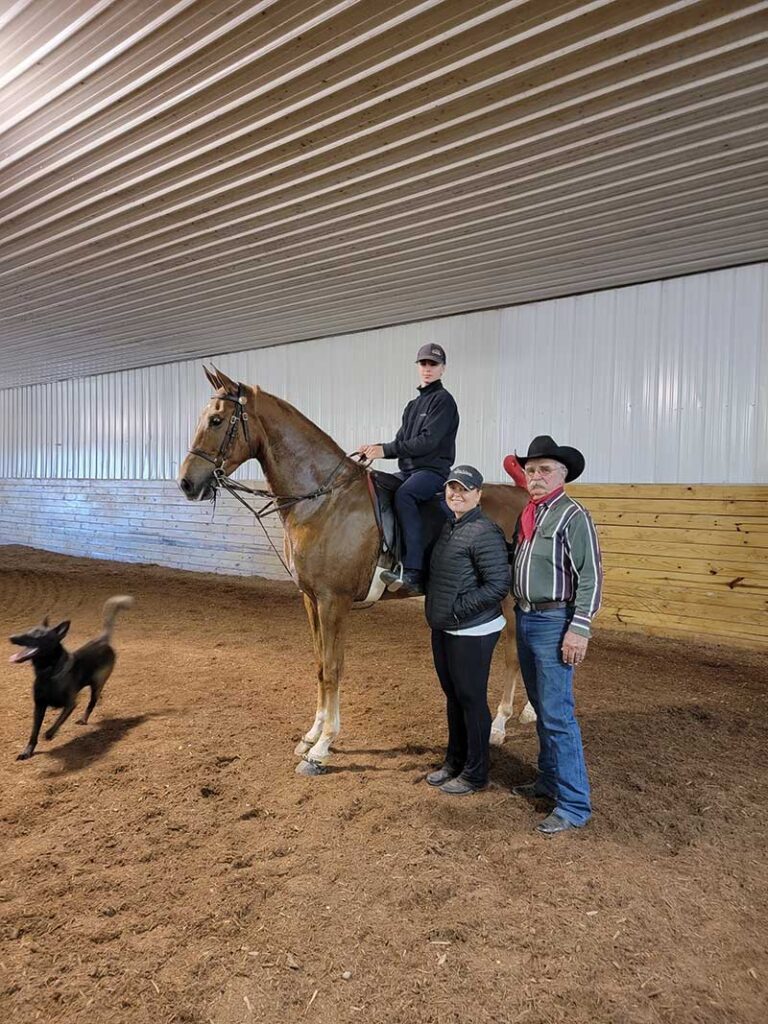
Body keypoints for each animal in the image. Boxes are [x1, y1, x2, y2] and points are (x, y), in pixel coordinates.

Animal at [9, 593, 133, 761]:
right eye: (28, 630)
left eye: (38, 635)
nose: (12, 637)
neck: (48, 674)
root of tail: (102, 641)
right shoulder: (39, 706)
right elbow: (34, 732)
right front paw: (27, 752)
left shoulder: (70, 704)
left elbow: (57, 722)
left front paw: (49, 734)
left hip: (97, 683)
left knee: (92, 702)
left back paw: (83, 719)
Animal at [177, 364, 532, 770]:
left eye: (216, 420)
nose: (186, 483)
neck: (322, 500)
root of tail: (524, 496)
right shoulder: (311, 599)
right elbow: (320, 666)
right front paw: (312, 734)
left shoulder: (334, 600)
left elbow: (334, 668)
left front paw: (323, 746)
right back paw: (527, 713)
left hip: (509, 599)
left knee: (513, 655)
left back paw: (500, 724)